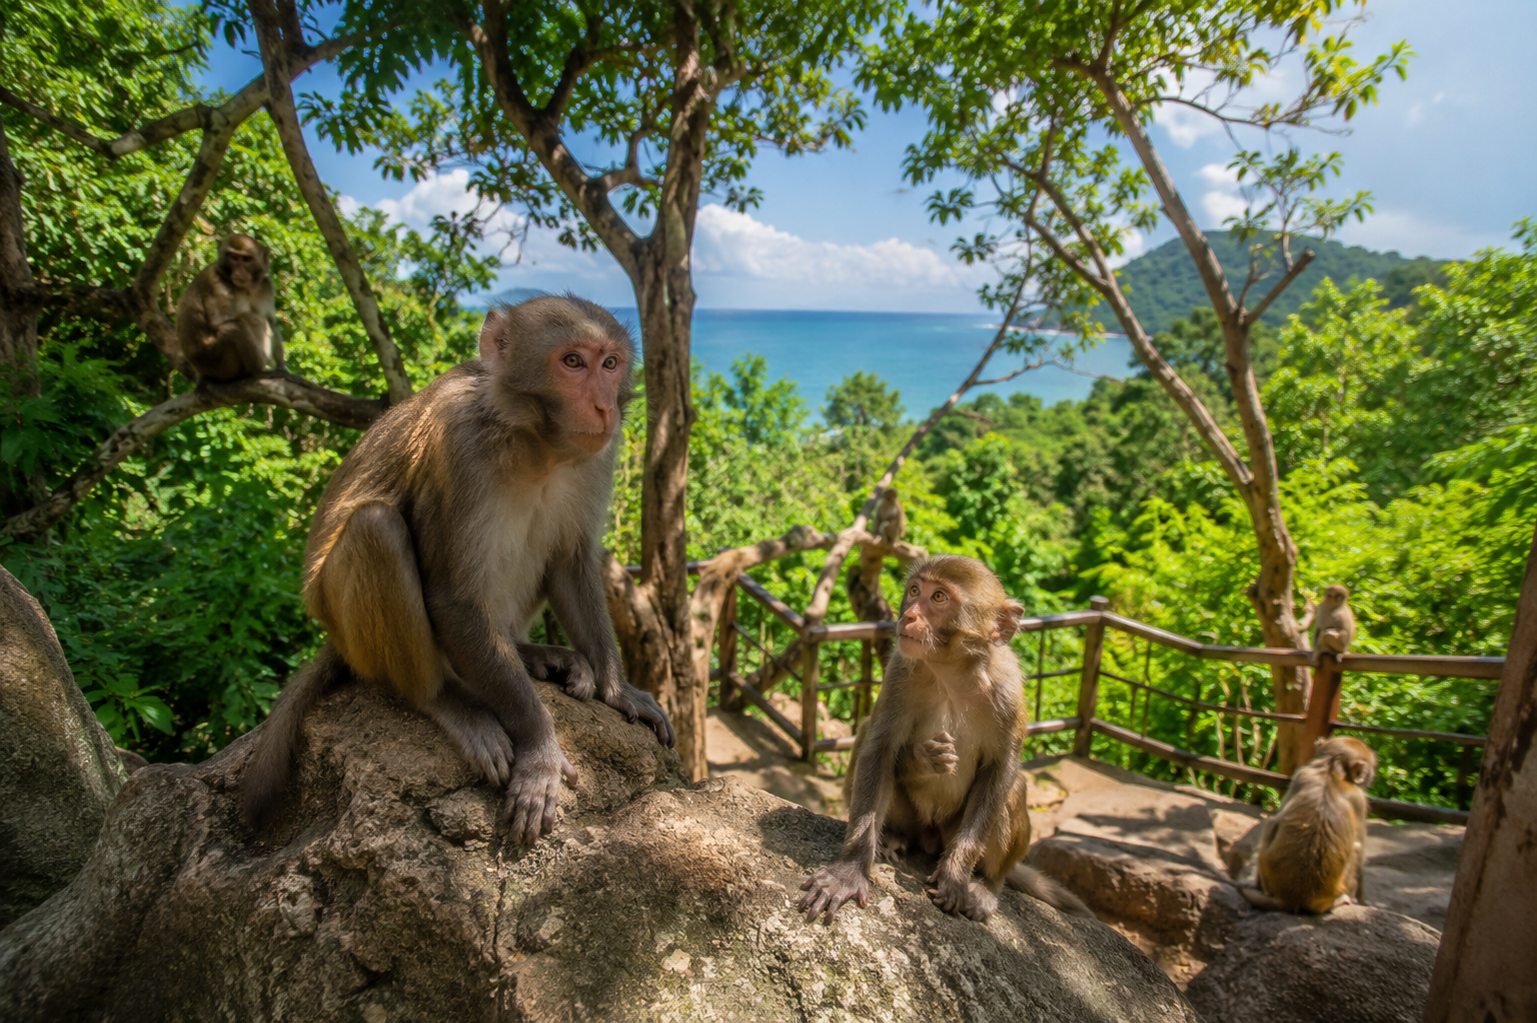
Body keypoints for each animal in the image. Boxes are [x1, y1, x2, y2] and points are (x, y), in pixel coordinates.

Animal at [175, 234, 286, 382]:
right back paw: (259, 369)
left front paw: (282, 367)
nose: (239, 270)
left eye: (246, 259)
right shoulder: (217, 286)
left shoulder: (266, 286)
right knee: (237, 326)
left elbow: (271, 321)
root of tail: (200, 372)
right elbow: (219, 322)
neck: (247, 288)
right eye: (234, 257)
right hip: (215, 360)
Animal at [240, 295, 674, 845]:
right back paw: (447, 700)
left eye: (611, 363)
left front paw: (619, 692)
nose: (603, 407)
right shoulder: (459, 448)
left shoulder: (598, 456)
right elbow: (453, 596)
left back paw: (530, 653)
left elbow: (571, 562)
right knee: (377, 529)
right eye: (573, 362)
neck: (536, 444)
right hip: (352, 631)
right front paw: (540, 748)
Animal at [799, 555, 1091, 924]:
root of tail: (929, 838)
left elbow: (1001, 769)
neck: (952, 673)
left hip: (952, 833)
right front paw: (849, 871)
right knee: (867, 734)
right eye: (914, 591)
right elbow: (879, 750)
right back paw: (892, 838)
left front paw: (956, 876)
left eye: (939, 597)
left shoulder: (1009, 692)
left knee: (1014, 788)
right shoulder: (899, 671)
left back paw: (986, 884)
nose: (909, 615)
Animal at [1240, 736, 1376, 914]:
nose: (1371, 778)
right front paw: (1361, 901)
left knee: (1271, 823)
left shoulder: (1302, 775)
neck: (1332, 771)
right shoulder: (1359, 799)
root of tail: (1295, 898)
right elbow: (1360, 852)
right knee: (1356, 848)